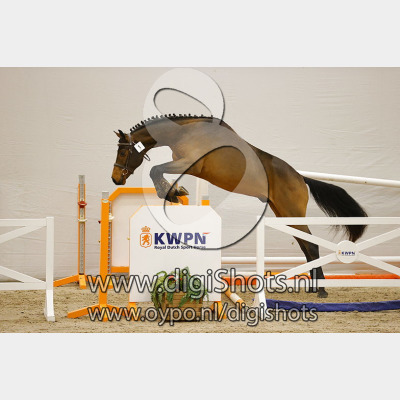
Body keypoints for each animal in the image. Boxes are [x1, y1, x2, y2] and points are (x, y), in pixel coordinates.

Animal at [112, 114, 368, 298]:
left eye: (123, 151)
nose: (115, 179)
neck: (185, 131)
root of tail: (300, 177)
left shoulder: (189, 163)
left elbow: (156, 170)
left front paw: (172, 193)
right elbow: (159, 172)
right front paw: (174, 192)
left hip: (292, 213)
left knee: (311, 246)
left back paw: (322, 290)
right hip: (283, 214)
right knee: (305, 246)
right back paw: (313, 288)